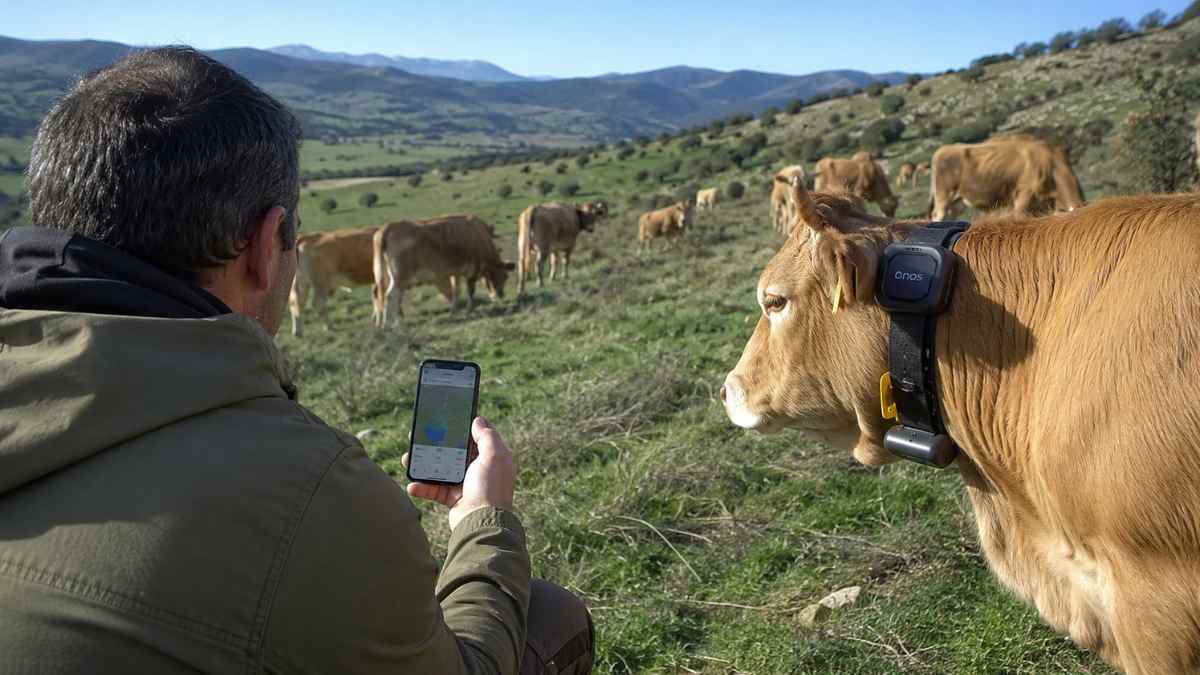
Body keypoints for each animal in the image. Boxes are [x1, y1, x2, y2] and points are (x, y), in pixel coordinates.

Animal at [371, 215, 514, 327]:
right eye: (505, 277)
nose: (501, 295)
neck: (479, 234)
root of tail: (387, 227)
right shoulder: (472, 270)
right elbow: (470, 290)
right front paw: (469, 309)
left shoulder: (455, 272)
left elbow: (455, 290)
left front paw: (454, 310)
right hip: (400, 276)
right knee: (391, 295)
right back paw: (391, 323)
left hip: (385, 275)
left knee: (384, 295)